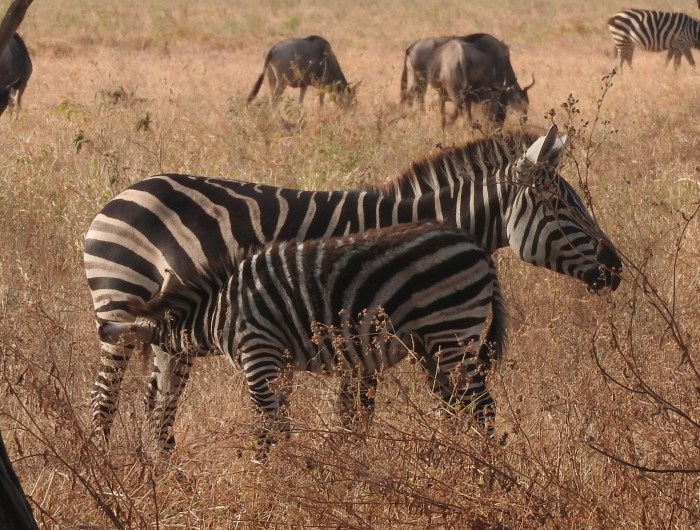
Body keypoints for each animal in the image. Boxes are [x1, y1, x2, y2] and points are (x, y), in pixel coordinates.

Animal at [99, 221, 507, 458]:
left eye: (160, 363)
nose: (157, 430)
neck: (218, 309)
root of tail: (474, 244)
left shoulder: (258, 353)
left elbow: (267, 424)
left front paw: (270, 472)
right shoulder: (276, 362)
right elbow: (281, 420)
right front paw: (290, 469)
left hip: (452, 330)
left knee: (483, 407)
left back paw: (485, 471)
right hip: (433, 343)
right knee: (459, 404)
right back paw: (459, 459)